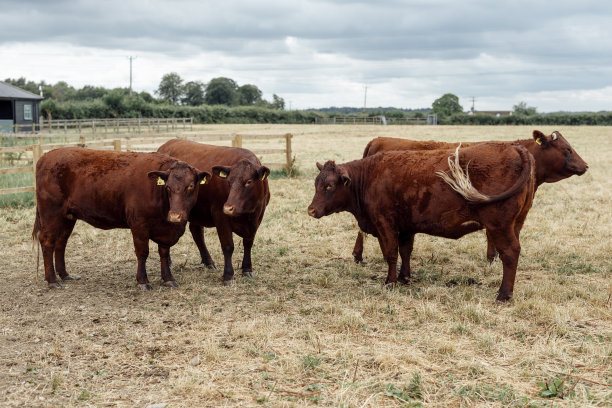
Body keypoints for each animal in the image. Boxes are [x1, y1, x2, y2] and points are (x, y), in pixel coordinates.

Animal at [33, 147, 210, 290]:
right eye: (167, 187)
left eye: (190, 186)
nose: (175, 216)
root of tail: (46, 156)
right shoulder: (139, 224)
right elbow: (142, 252)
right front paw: (143, 281)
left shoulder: (166, 230)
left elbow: (164, 253)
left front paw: (168, 279)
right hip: (51, 213)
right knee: (47, 242)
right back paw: (52, 280)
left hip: (68, 216)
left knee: (61, 242)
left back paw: (64, 274)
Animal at [158, 139, 270, 286]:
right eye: (229, 181)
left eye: (249, 181)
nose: (228, 208)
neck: (247, 212)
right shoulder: (220, 216)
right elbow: (228, 246)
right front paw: (228, 276)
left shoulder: (257, 217)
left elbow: (248, 243)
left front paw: (247, 269)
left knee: (197, 232)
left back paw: (208, 262)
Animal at [306, 142, 536, 302]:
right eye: (316, 183)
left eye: (329, 186)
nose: (311, 210)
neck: (369, 178)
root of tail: (513, 147)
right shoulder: (406, 227)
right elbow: (405, 251)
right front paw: (404, 277)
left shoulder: (384, 224)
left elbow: (390, 254)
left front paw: (390, 281)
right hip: (516, 223)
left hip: (499, 226)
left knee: (510, 253)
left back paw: (503, 295)